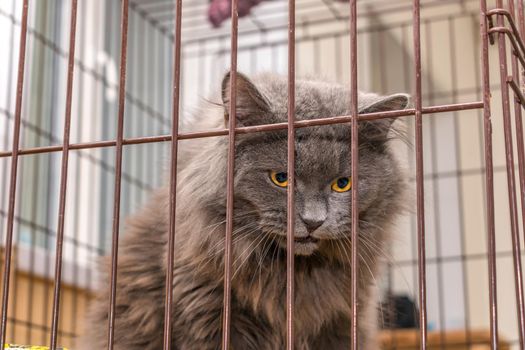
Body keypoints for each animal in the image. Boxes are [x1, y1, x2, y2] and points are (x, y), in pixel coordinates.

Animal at [81, 72, 410, 348]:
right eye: (281, 178)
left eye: (343, 184)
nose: (313, 221)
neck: (292, 274)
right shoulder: (207, 313)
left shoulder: (343, 320)